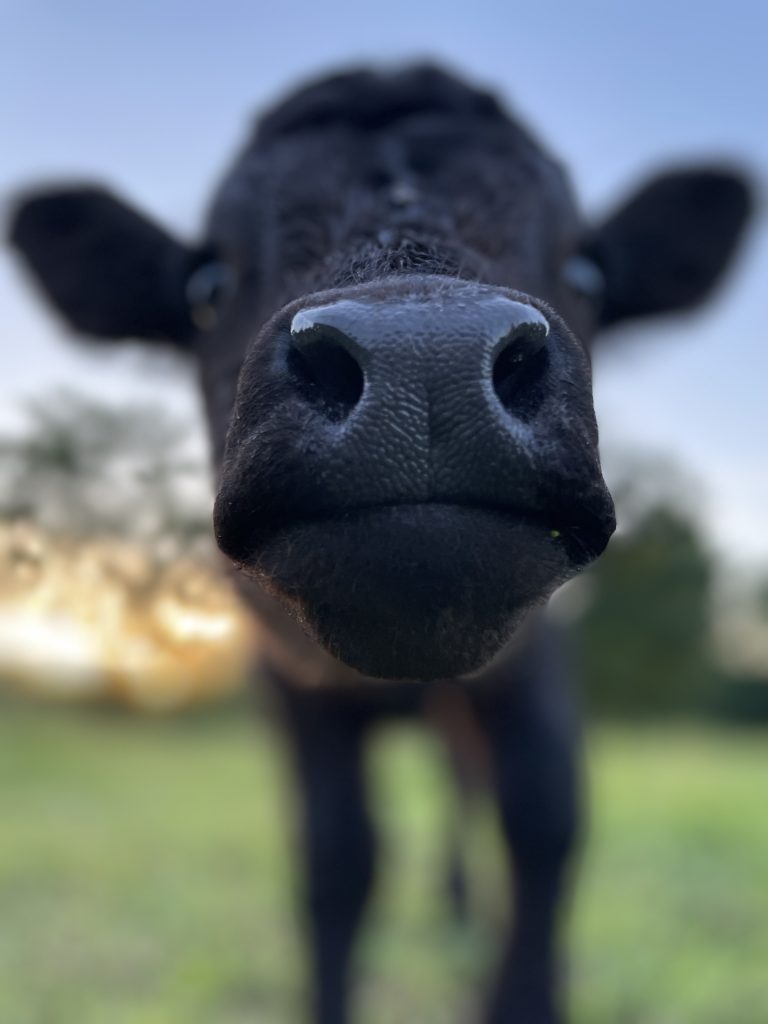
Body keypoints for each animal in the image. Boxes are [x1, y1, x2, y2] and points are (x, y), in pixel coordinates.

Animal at [9, 65, 751, 1024]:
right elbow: (337, 862)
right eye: (205, 282)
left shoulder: (541, 662)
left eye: (589, 268)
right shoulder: (293, 693)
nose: (425, 355)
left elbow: (543, 823)